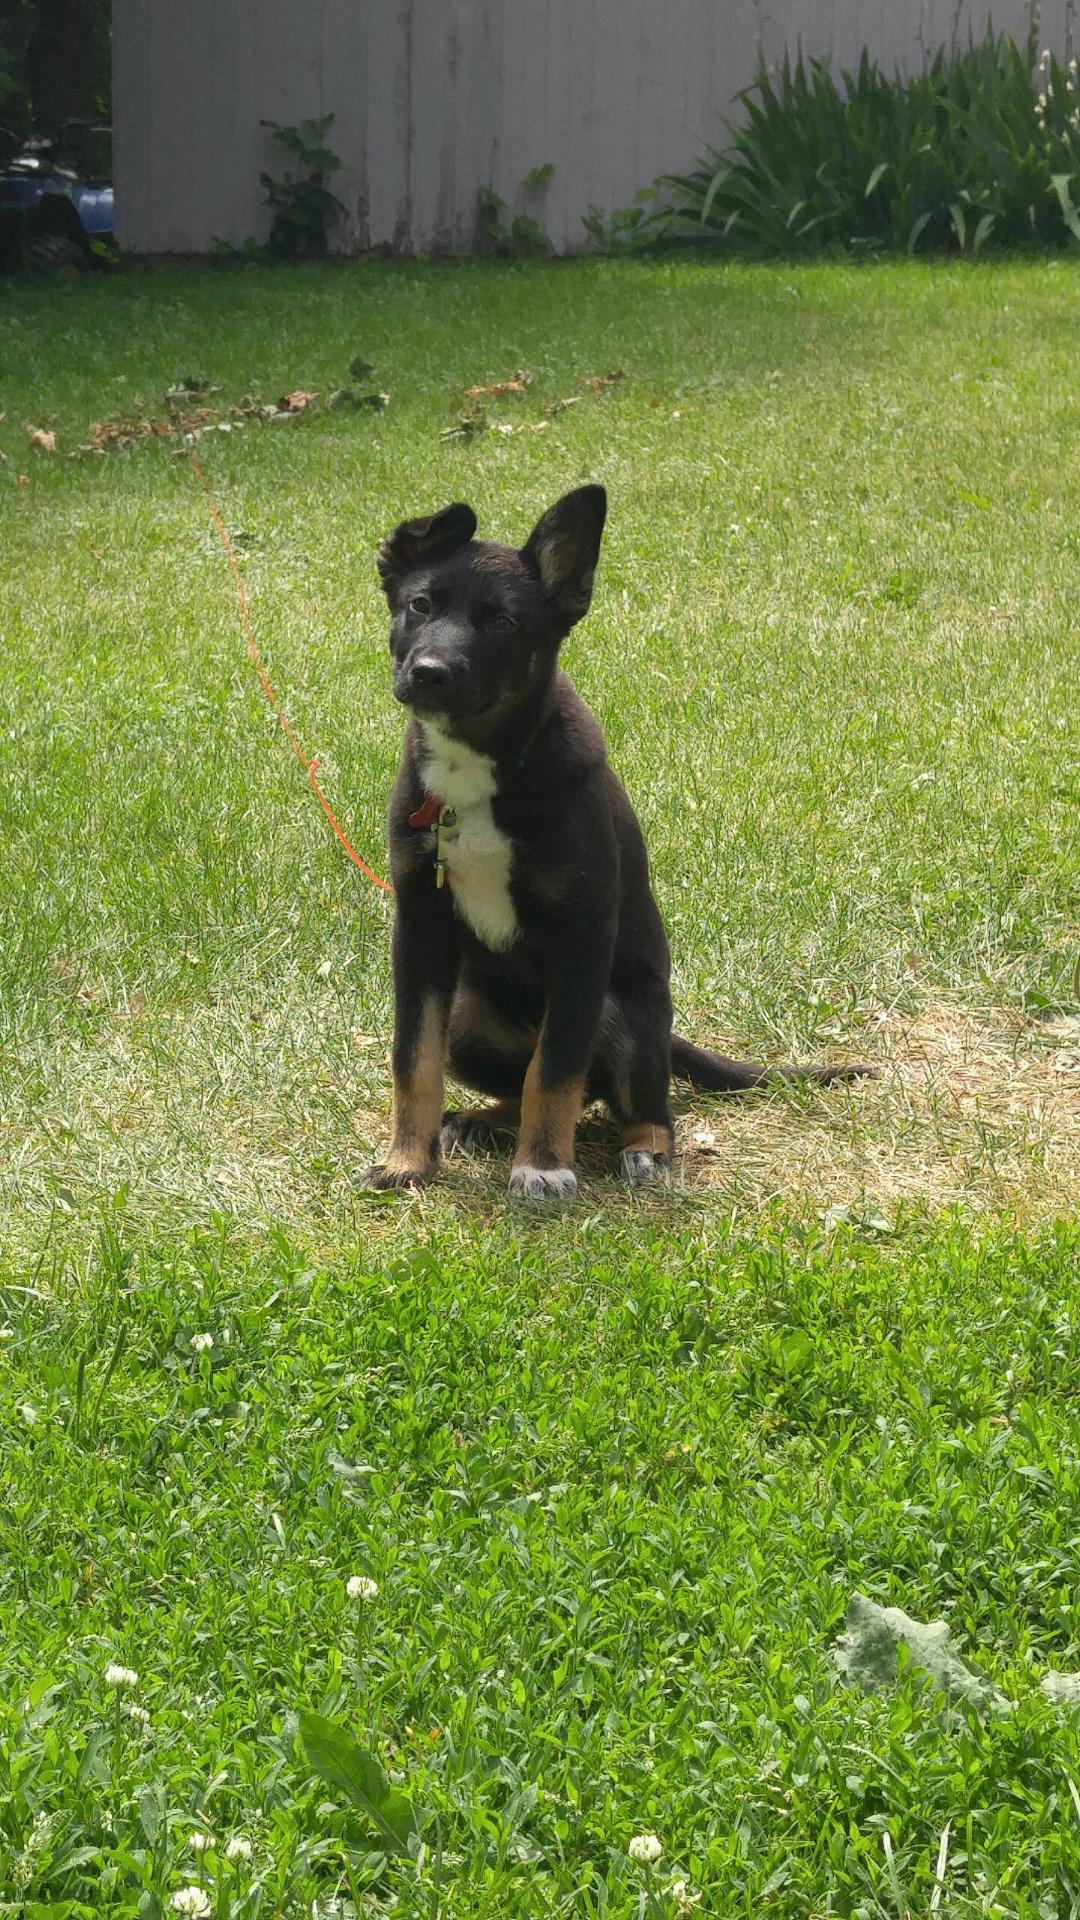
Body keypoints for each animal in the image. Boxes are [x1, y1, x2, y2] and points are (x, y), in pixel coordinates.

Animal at [361, 483, 864, 1198]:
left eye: (504, 622)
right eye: (420, 605)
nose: (429, 673)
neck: (484, 768)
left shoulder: (582, 931)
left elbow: (555, 1070)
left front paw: (542, 1168)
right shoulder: (420, 925)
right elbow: (413, 1057)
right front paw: (407, 1159)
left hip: (624, 1011)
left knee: (644, 1102)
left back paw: (645, 1151)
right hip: (466, 1016)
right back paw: (482, 1121)